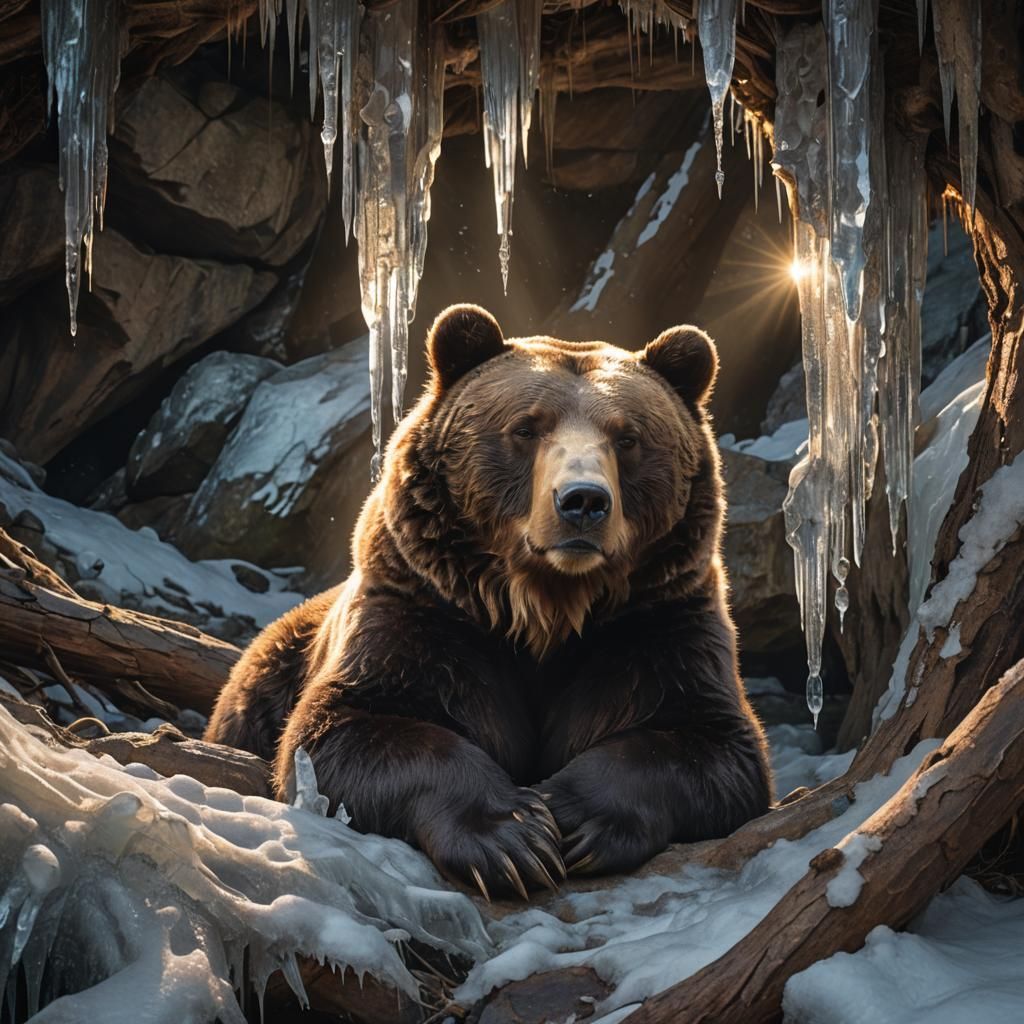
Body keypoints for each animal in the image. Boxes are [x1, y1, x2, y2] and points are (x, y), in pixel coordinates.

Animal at [205, 304, 772, 899]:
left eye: (628, 437)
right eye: (526, 427)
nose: (583, 501)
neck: (548, 607)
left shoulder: (658, 627)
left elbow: (712, 744)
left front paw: (570, 813)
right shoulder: (427, 615)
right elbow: (343, 727)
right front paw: (513, 838)